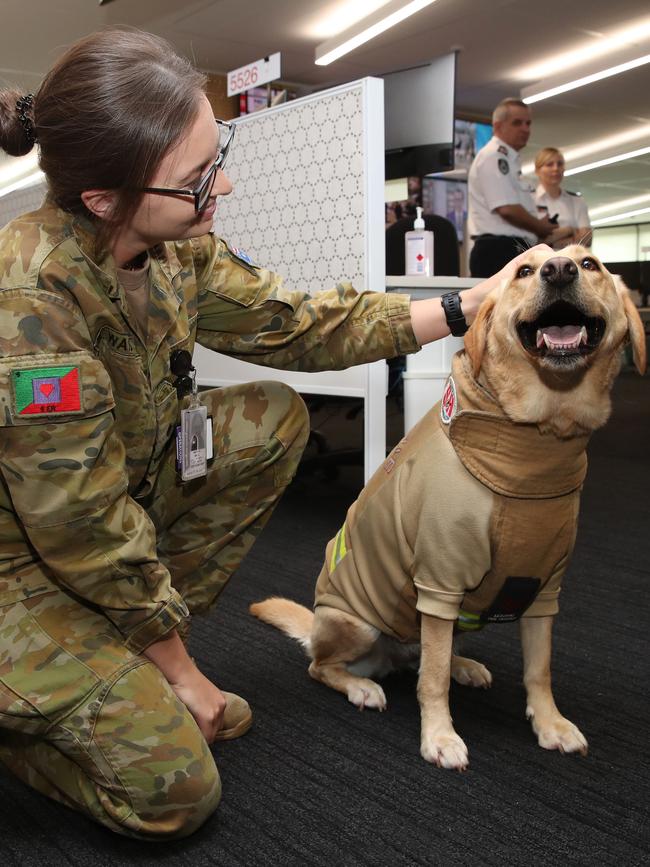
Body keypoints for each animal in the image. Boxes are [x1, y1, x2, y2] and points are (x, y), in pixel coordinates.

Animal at [249, 248, 644, 768]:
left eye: (590, 263)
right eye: (523, 270)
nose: (558, 270)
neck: (538, 446)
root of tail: (317, 626)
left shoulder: (543, 587)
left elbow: (539, 669)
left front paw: (551, 723)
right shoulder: (440, 579)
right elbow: (432, 682)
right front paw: (438, 735)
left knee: (425, 655)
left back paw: (462, 664)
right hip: (358, 623)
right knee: (327, 665)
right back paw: (360, 686)